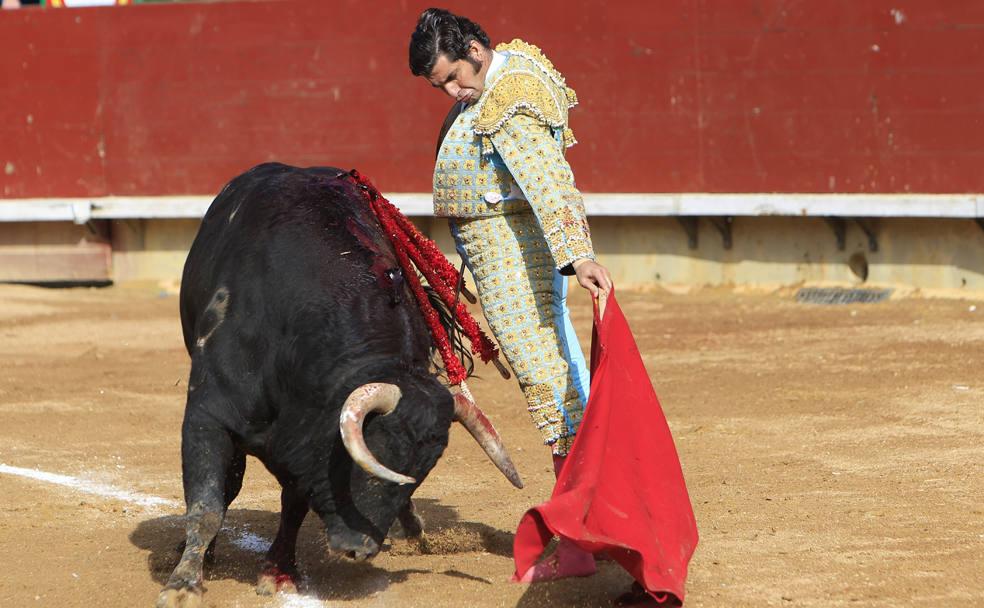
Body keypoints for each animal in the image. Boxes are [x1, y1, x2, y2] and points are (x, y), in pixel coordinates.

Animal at [158, 164, 520, 604]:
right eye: (375, 456)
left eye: (422, 470)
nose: (358, 550)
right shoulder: (208, 417)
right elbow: (208, 501)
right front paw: (183, 584)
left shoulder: (308, 441)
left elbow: (294, 506)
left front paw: (278, 573)